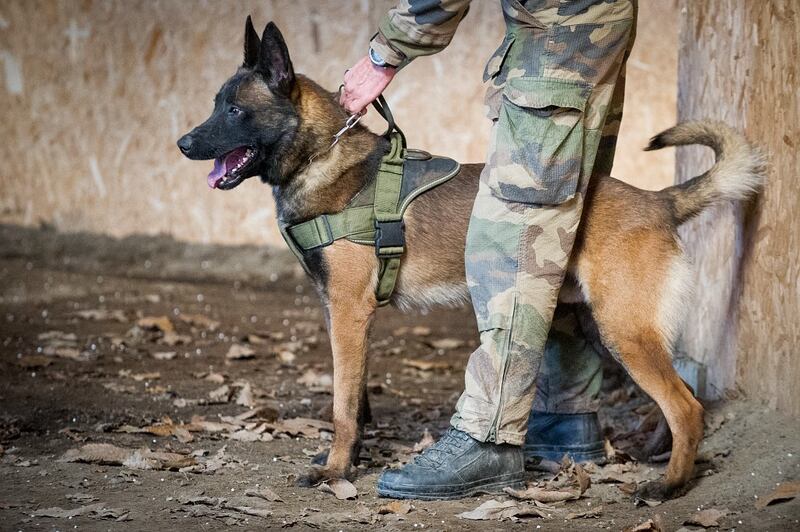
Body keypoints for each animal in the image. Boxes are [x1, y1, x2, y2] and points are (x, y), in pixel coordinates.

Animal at [178, 18, 764, 500]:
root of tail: (658, 200)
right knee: (682, 395)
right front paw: (352, 459)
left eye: (235, 110)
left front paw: (336, 470)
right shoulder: (344, 316)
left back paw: (670, 485)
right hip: (600, 325)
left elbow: (342, 405)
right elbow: (358, 398)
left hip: (624, 329)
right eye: (214, 103)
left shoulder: (347, 312)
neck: (323, 158)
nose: (182, 143)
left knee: (686, 406)